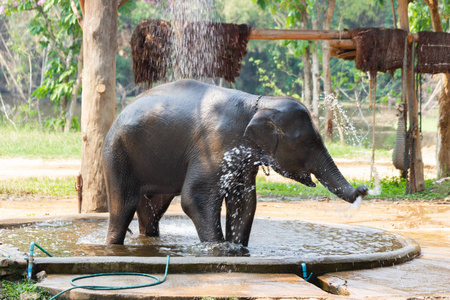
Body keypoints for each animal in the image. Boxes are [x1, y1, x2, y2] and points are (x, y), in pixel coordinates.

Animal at [103, 79, 368, 246]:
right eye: (310, 143)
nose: (364, 188)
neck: (258, 104)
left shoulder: (243, 160)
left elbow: (244, 202)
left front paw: (238, 248)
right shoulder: (215, 144)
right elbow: (194, 198)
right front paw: (218, 248)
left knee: (153, 209)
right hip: (116, 154)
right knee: (123, 205)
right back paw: (114, 246)